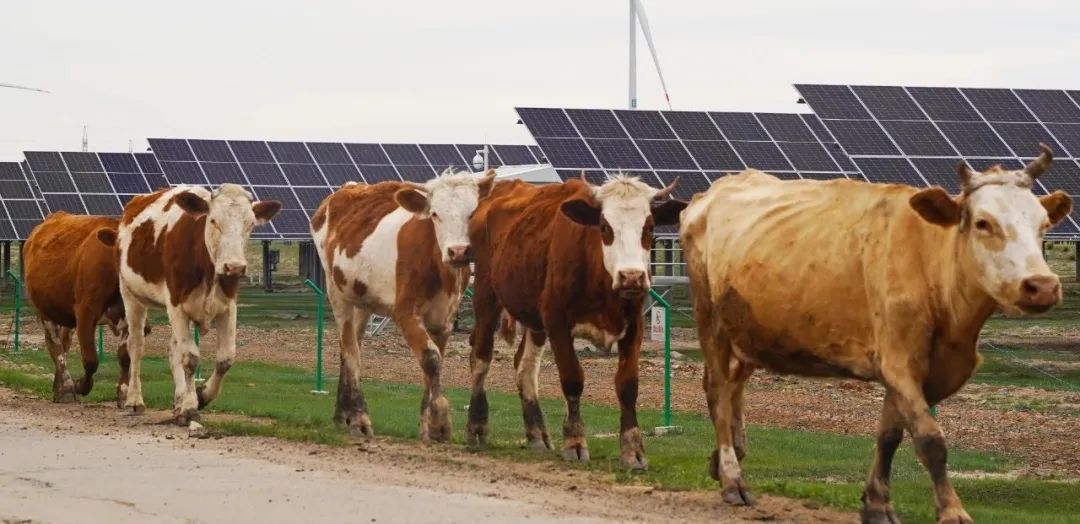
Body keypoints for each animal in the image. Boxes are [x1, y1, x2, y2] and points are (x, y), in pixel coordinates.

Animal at [24, 210, 137, 401]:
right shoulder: (85, 313)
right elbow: (91, 360)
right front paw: (80, 386)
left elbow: (125, 357)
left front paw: (123, 394)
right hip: (45, 310)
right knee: (56, 347)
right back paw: (66, 388)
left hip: (65, 315)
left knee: (64, 344)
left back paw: (58, 386)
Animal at [117, 183, 282, 425]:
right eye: (213, 220)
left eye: (250, 223)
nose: (234, 266)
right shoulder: (176, 305)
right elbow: (190, 358)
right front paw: (189, 407)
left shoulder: (228, 307)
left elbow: (225, 358)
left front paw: (200, 396)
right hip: (131, 295)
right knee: (136, 345)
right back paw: (135, 400)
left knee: (173, 349)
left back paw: (178, 400)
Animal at [313, 169, 496, 438]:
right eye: (435, 214)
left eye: (471, 213)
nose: (459, 251)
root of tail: (345, 190)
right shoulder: (405, 312)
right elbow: (431, 358)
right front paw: (440, 421)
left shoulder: (444, 319)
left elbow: (434, 362)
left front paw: (427, 424)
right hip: (336, 291)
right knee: (350, 350)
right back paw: (358, 418)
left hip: (361, 300)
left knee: (350, 347)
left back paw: (342, 415)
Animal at [468, 172, 686, 468]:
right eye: (604, 226)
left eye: (649, 226)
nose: (631, 277)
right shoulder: (557, 321)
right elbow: (572, 380)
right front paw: (575, 441)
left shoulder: (634, 326)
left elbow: (628, 386)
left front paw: (633, 449)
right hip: (486, 296)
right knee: (481, 358)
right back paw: (477, 427)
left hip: (534, 318)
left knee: (525, 367)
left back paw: (537, 434)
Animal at [682, 143, 1071, 522]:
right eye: (983, 223)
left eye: (1043, 224)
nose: (1042, 286)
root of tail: (716, 190)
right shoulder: (898, 361)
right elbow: (930, 440)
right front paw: (952, 510)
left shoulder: (920, 370)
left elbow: (890, 435)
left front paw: (876, 504)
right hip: (710, 320)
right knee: (718, 390)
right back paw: (732, 479)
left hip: (749, 329)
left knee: (734, 386)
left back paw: (725, 459)